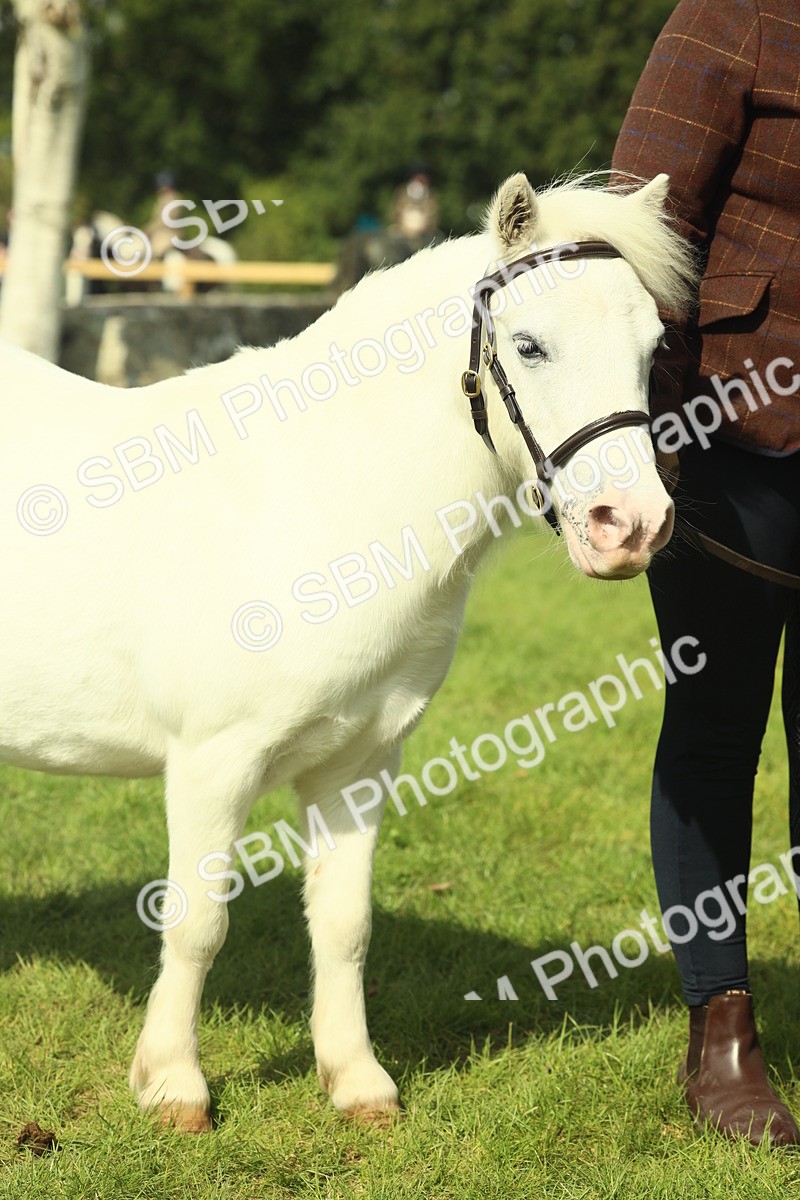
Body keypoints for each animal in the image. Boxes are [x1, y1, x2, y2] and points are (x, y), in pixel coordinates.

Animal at [0, 171, 695, 1132]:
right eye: (529, 345)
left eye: (654, 347)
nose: (630, 526)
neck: (316, 499)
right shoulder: (212, 764)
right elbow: (198, 923)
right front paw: (173, 1084)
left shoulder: (359, 765)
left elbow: (344, 925)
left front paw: (356, 1079)